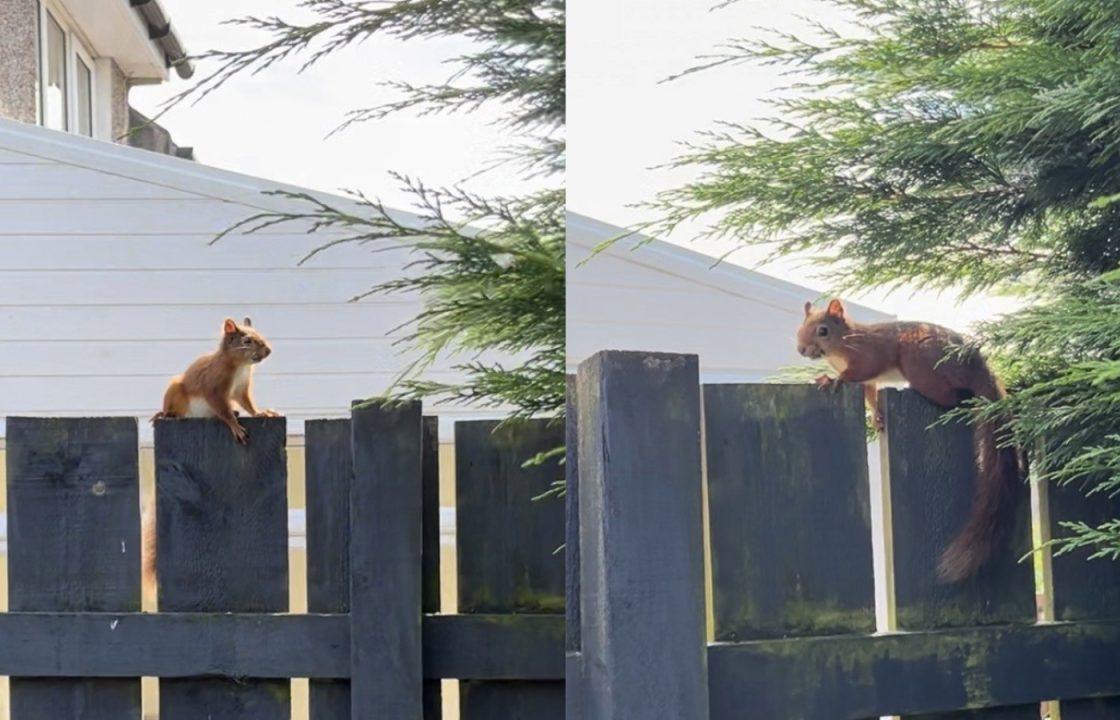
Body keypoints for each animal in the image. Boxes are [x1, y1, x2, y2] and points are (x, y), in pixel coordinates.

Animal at [792, 302, 1021, 582]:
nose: (801, 349)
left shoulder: (869, 356)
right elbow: (870, 395)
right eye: (800, 328)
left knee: (950, 398)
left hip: (918, 362)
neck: (843, 343)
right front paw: (876, 418)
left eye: (823, 331)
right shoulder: (870, 382)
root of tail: (979, 366)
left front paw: (834, 379)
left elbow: (857, 373)